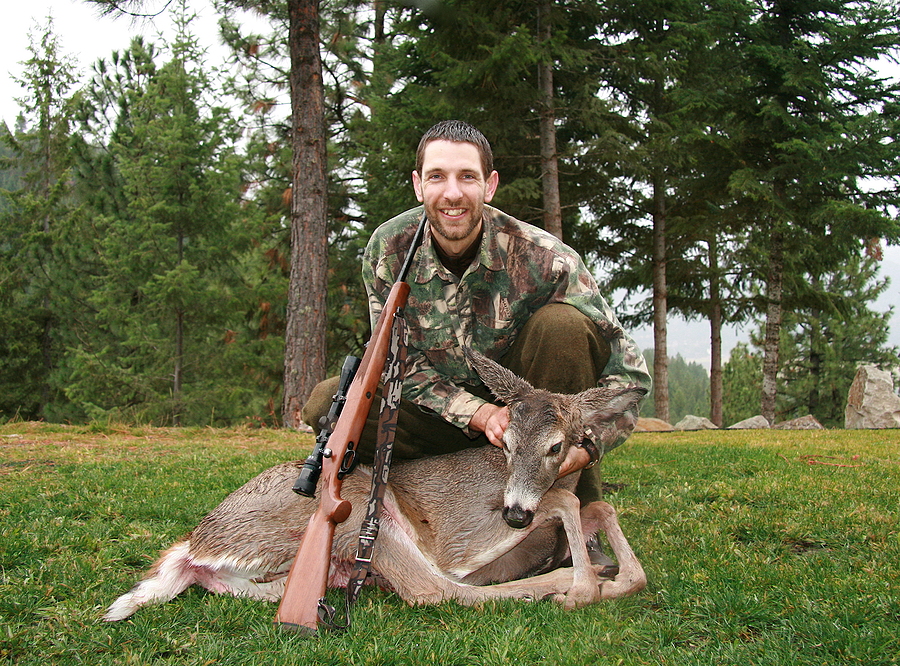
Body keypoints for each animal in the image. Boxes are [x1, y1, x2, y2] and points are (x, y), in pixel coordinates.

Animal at [103, 349, 647, 622]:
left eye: (557, 446)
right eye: (507, 442)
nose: (515, 513)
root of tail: (194, 546)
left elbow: (598, 508)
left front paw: (615, 576)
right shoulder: (464, 533)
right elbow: (566, 500)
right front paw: (585, 588)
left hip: (272, 579)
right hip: (367, 512)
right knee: (432, 590)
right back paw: (563, 583)